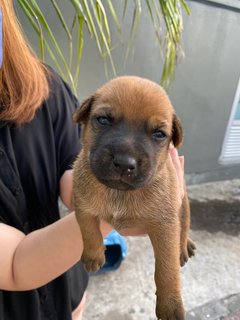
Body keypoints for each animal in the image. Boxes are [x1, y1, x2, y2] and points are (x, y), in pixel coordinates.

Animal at [72, 76, 195, 318]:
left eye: (159, 133)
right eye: (103, 120)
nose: (124, 163)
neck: (120, 193)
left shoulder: (166, 226)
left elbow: (167, 269)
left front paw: (170, 304)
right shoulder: (82, 202)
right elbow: (88, 229)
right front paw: (93, 255)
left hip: (183, 202)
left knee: (184, 224)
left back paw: (184, 246)